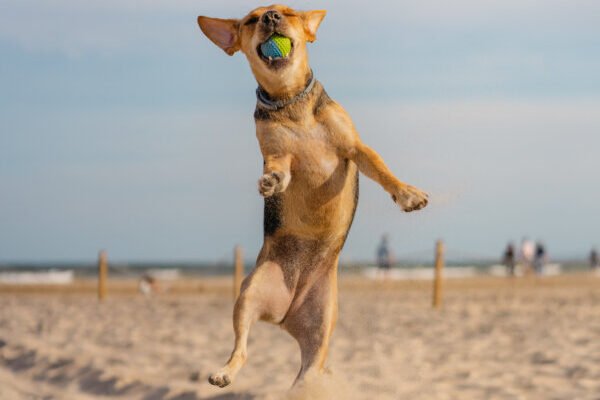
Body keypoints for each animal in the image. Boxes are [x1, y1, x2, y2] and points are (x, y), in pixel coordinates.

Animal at [197, 4, 426, 390]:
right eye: (251, 20)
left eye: (287, 12)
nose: (271, 17)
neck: (290, 101)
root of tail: (284, 314)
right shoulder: (279, 154)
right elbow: (281, 169)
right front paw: (271, 183)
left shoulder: (355, 148)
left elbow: (383, 171)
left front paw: (407, 194)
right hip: (249, 293)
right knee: (242, 349)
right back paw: (225, 372)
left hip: (322, 322)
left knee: (308, 370)